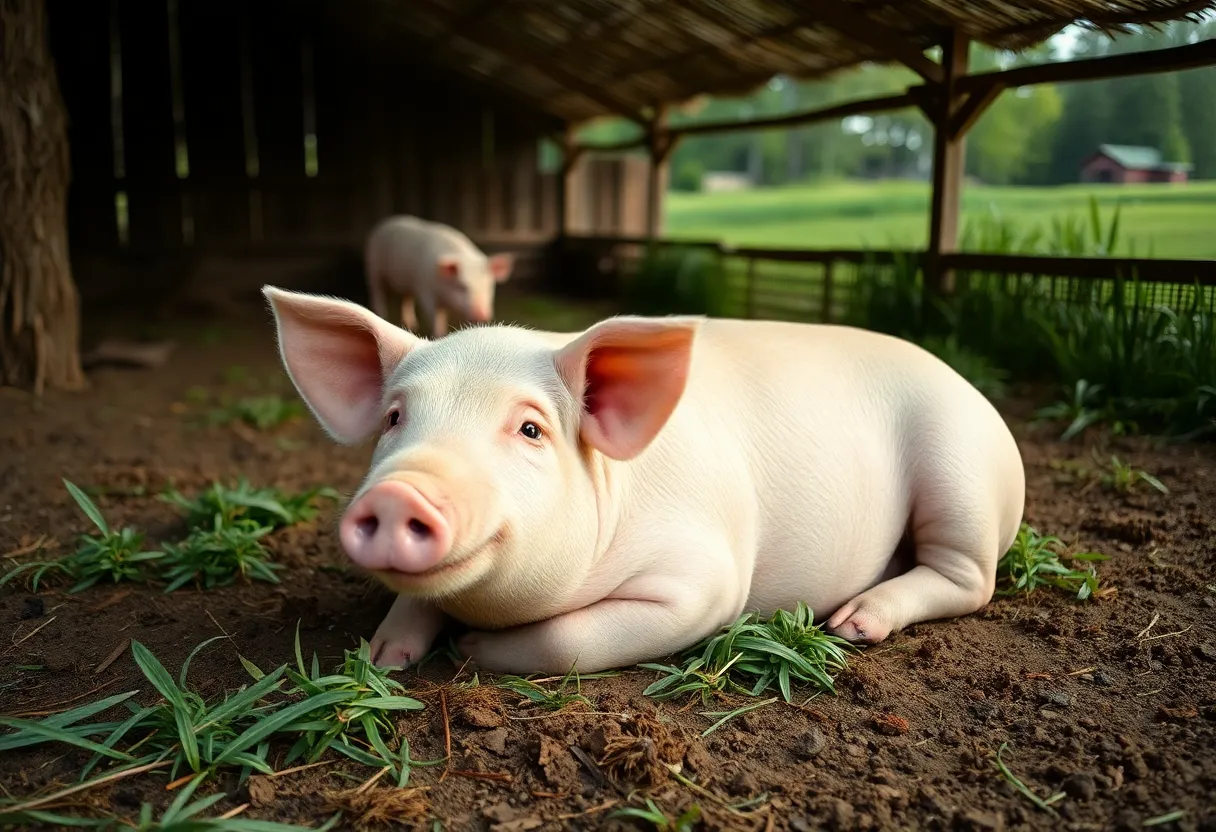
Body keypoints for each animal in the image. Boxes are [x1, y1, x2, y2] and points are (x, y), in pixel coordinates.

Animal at [262, 285, 1026, 676]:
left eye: (530, 429)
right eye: (395, 418)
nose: (399, 491)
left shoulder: (704, 581)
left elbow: (570, 642)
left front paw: (474, 652)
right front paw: (382, 659)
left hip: (958, 470)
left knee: (970, 578)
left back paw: (854, 624)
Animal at [363, 215, 514, 338]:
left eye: (488, 285)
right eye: (462, 286)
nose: (482, 315)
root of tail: (386, 222)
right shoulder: (424, 289)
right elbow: (435, 316)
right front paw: (439, 336)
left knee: (406, 298)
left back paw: (411, 325)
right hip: (373, 264)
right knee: (377, 290)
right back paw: (382, 314)